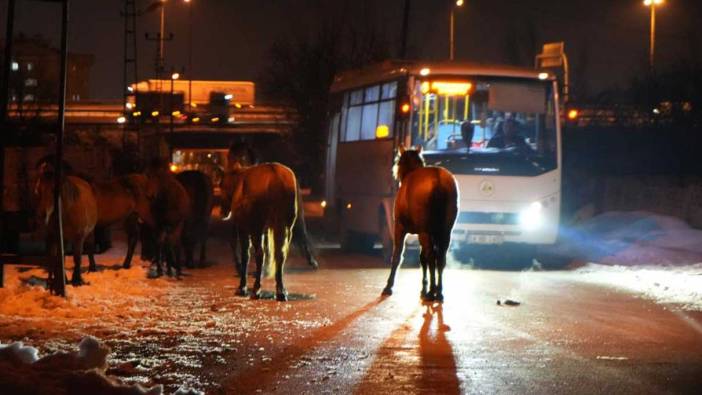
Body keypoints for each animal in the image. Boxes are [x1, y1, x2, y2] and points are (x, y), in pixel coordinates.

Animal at [382, 146, 460, 304]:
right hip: (445, 232)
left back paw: (432, 292)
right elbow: (422, 258)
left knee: (431, 257)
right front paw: (424, 288)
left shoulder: (400, 227)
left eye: (398, 161)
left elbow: (397, 255)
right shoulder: (424, 233)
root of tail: (438, 181)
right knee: (440, 258)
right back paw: (438, 292)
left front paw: (389, 286)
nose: (396, 174)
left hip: (425, 231)